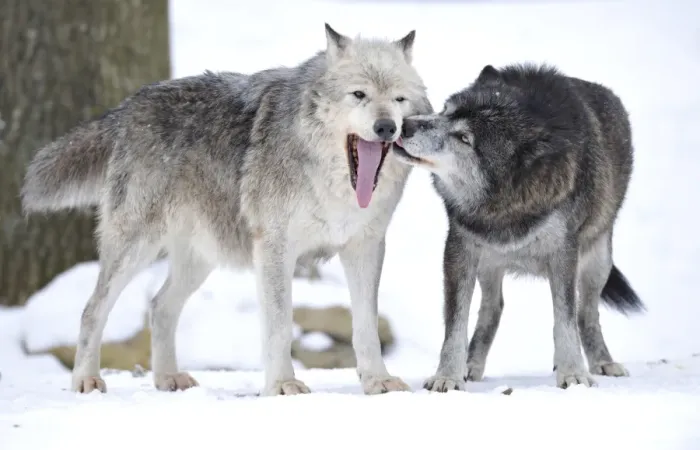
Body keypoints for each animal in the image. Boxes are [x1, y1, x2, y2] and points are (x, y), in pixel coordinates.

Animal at [21, 24, 433, 396]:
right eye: (359, 95)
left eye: (399, 99)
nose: (386, 127)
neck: (334, 185)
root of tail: (128, 107)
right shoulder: (275, 249)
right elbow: (280, 324)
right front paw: (282, 385)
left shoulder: (365, 248)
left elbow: (366, 325)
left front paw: (377, 381)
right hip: (135, 249)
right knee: (93, 309)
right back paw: (86, 380)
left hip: (200, 259)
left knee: (159, 307)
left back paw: (167, 378)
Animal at [393, 63, 644, 391]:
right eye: (445, 111)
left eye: (464, 138)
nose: (405, 125)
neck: (503, 206)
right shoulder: (459, 249)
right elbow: (455, 324)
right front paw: (448, 376)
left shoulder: (564, 252)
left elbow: (565, 320)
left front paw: (572, 374)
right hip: (488, 263)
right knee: (493, 308)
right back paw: (471, 365)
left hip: (598, 260)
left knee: (586, 313)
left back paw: (602, 362)